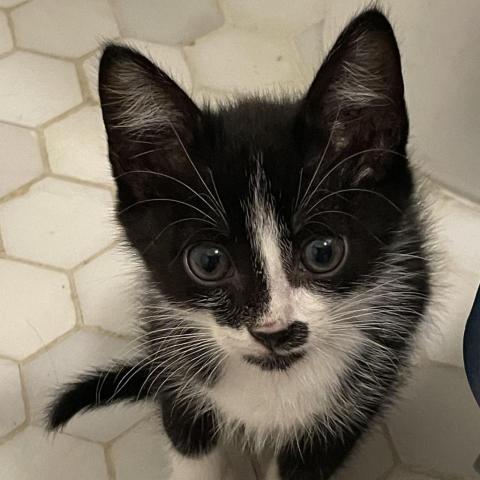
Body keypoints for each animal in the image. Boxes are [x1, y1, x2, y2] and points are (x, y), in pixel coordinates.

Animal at [47, 8, 432, 480]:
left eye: (323, 252)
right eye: (208, 262)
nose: (275, 331)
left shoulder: (350, 408)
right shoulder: (177, 377)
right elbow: (191, 448)